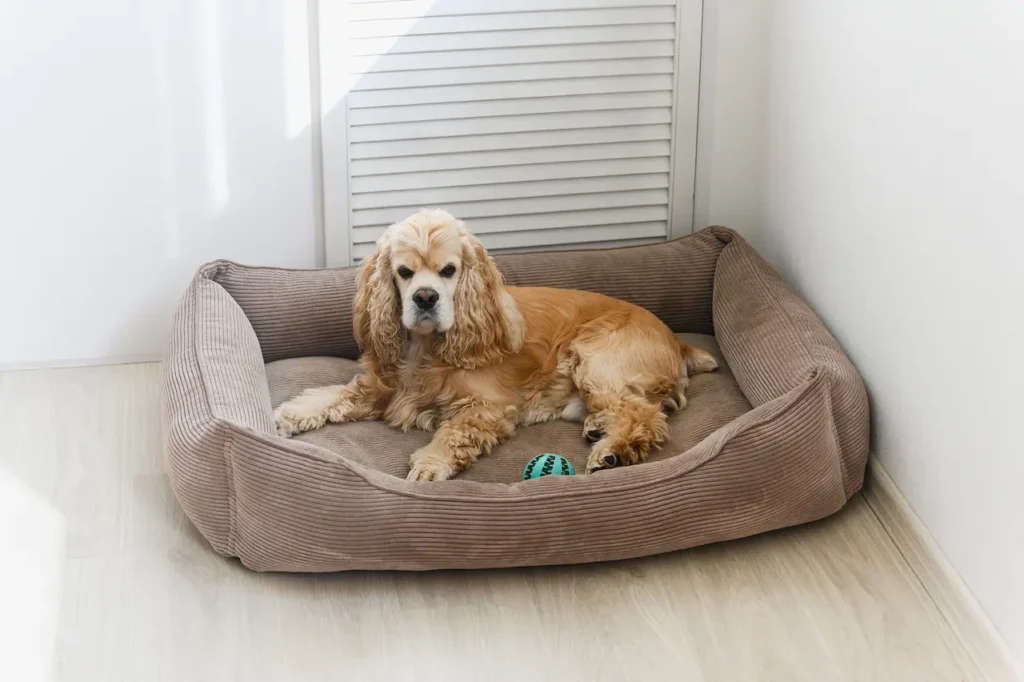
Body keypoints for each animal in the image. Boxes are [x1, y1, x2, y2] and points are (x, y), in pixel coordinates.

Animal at [272, 209, 720, 481]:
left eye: (448, 271)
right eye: (403, 272)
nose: (425, 298)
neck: (424, 350)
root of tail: (676, 341)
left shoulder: (487, 407)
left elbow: (453, 434)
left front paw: (430, 464)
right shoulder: (378, 386)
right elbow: (333, 395)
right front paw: (292, 414)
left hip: (596, 362)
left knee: (646, 415)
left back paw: (612, 452)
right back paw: (598, 429)